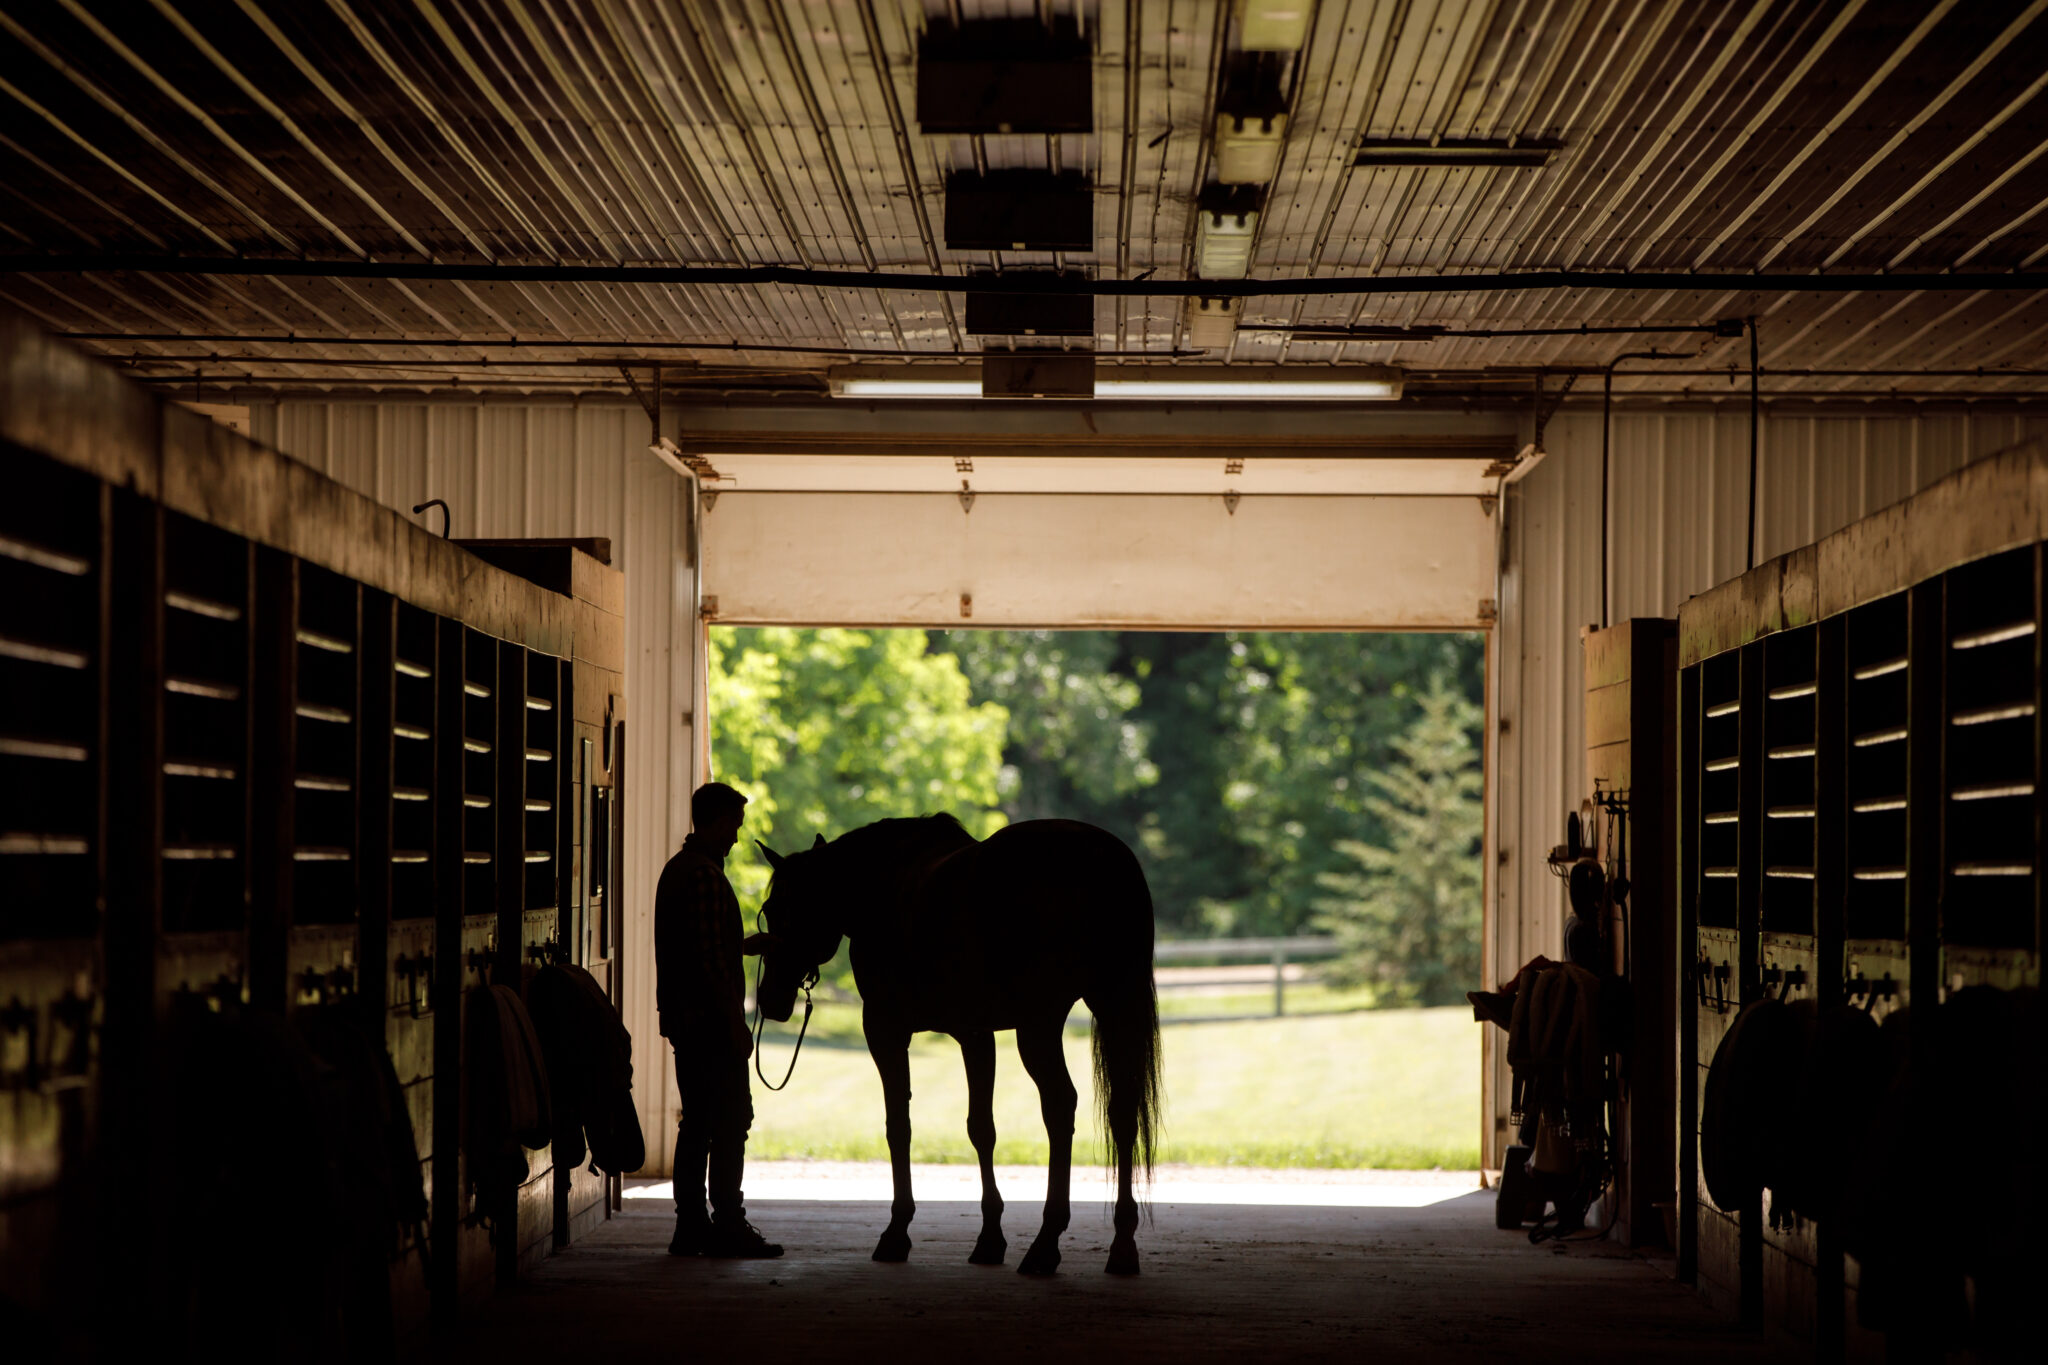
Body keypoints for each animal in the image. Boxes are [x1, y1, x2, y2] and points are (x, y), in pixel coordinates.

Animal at [754, 815, 1162, 1276]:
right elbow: (981, 1128)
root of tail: (1105, 859)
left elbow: (899, 1126)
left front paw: (897, 1233)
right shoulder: (975, 1034)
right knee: (1122, 1113)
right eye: (770, 912)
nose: (769, 998)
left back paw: (1046, 1243)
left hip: (1040, 1025)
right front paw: (989, 1239)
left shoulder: (884, 1029)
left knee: (1060, 1107)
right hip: (1114, 1005)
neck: (884, 886)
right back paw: (1122, 1245)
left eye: (784, 910)